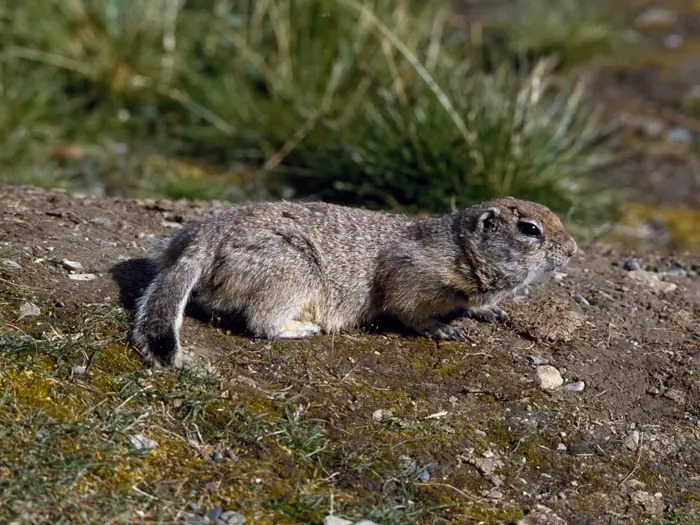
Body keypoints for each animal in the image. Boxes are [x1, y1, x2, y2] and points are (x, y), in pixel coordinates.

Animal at [130, 195, 576, 364]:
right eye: (530, 229)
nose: (572, 249)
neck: (462, 250)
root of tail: (197, 245)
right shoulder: (416, 273)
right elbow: (407, 307)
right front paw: (442, 329)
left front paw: (491, 311)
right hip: (293, 270)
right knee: (261, 321)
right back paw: (302, 328)